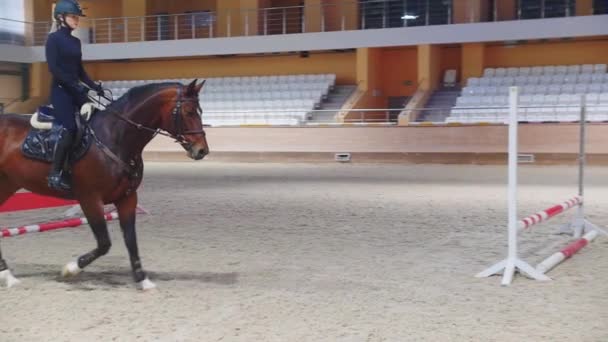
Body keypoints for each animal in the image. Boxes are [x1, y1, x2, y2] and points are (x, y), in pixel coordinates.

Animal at [0, 79, 208, 288]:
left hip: (7, 185)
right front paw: (70, 269)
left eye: (200, 111)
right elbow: (104, 243)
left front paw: (142, 279)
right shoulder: (90, 198)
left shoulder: (127, 197)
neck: (116, 137)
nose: (202, 150)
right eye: (189, 112)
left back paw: (7, 275)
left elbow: (131, 239)